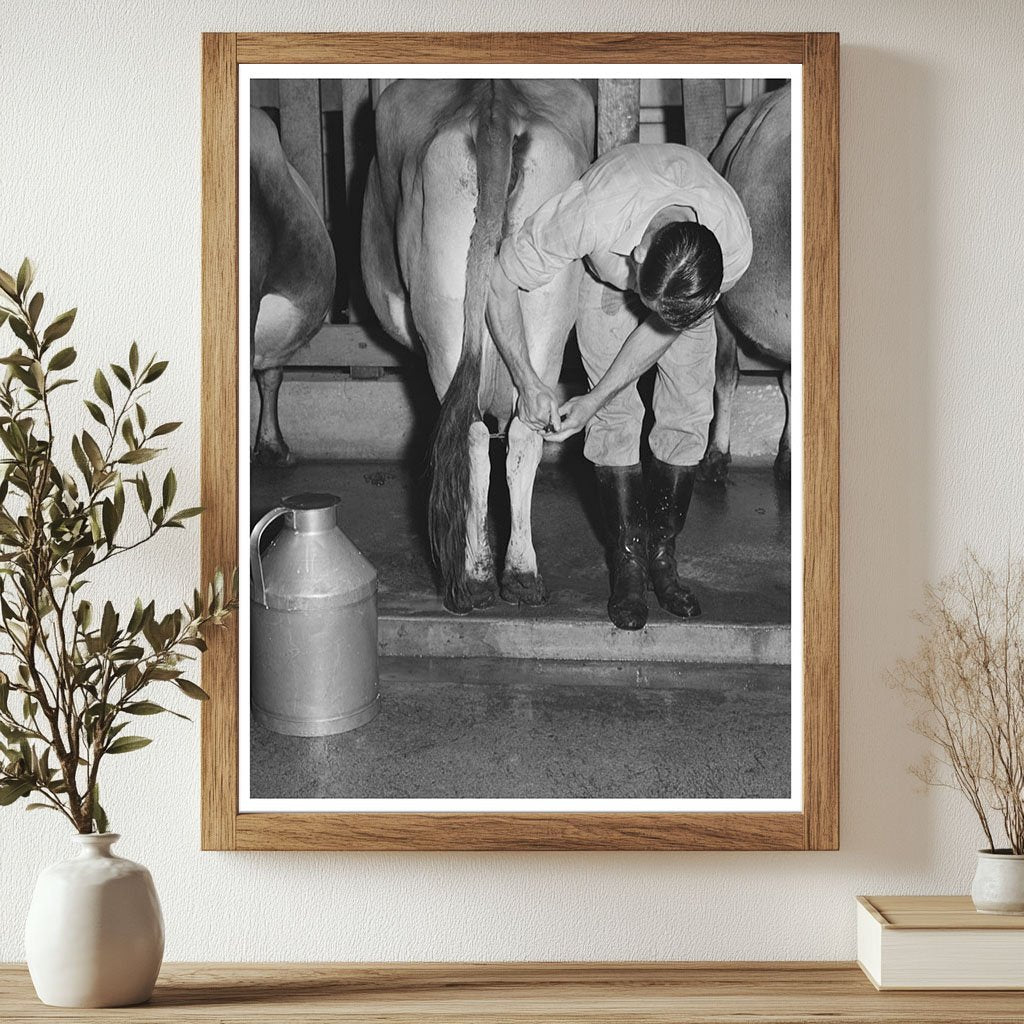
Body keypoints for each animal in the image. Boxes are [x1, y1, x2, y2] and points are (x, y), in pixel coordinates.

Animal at [364, 81, 598, 606]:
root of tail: (494, 103)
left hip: (444, 318)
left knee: (468, 434)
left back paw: (473, 575)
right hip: (548, 301)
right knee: (526, 430)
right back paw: (522, 574)